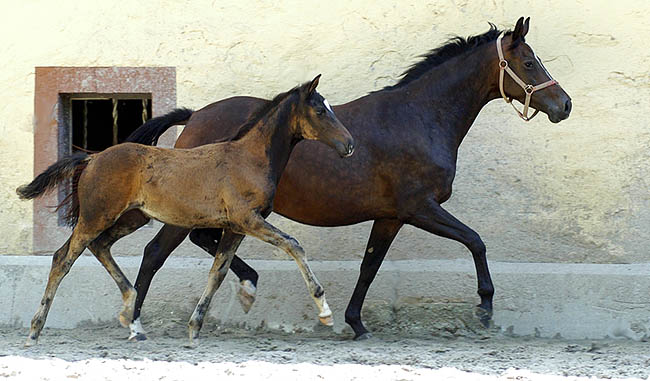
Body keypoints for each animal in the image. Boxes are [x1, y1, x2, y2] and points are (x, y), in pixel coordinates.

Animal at [19, 75, 354, 346]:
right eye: (320, 110)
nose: (349, 144)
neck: (249, 158)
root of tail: (92, 159)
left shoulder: (235, 227)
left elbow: (218, 272)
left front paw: (195, 327)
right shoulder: (248, 219)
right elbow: (293, 245)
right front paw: (325, 311)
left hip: (130, 217)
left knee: (100, 246)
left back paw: (132, 316)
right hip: (96, 216)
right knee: (63, 258)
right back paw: (35, 330)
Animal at [121, 17, 568, 338]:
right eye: (529, 63)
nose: (564, 105)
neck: (419, 117)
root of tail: (194, 115)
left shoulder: (390, 216)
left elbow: (369, 266)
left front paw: (355, 322)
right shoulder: (420, 207)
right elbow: (475, 240)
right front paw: (485, 308)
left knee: (201, 241)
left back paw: (246, 285)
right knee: (156, 253)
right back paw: (135, 320)